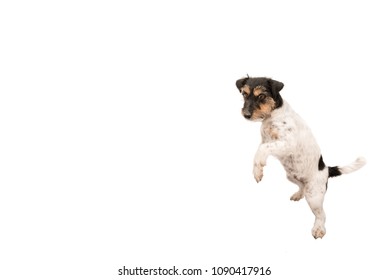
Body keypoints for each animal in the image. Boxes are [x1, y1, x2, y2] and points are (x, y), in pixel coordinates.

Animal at [235, 76, 366, 238]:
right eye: (244, 94)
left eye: (262, 96)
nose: (246, 115)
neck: (273, 115)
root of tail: (327, 170)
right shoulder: (267, 140)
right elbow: (259, 150)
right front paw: (257, 168)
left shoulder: (286, 143)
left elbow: (262, 149)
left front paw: (258, 170)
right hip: (292, 176)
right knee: (301, 186)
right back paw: (298, 194)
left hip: (314, 196)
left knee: (321, 215)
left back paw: (319, 228)